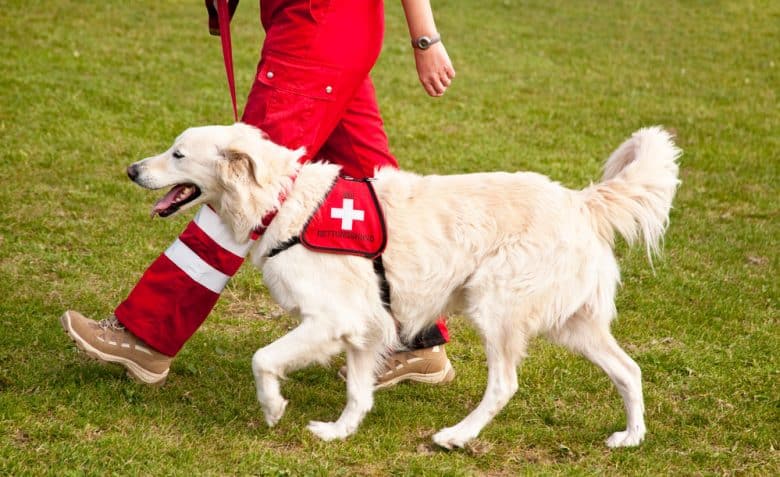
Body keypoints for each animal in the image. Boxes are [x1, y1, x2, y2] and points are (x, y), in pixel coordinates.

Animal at [126, 122, 676, 446]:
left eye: (177, 154)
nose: (131, 169)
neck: (284, 202)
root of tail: (580, 201)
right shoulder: (364, 328)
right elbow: (358, 392)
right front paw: (338, 432)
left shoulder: (331, 319)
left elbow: (263, 359)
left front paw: (273, 407)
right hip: (573, 325)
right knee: (629, 371)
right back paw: (631, 438)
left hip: (496, 312)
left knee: (505, 384)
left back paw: (456, 435)